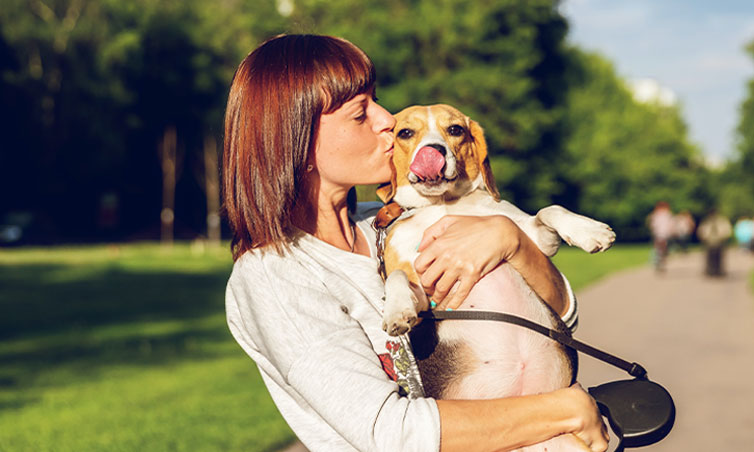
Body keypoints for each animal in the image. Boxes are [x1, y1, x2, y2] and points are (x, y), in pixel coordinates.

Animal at [374, 105, 612, 448]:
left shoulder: (534, 238)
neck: (444, 205)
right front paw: (396, 311)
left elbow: (549, 210)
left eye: (455, 129)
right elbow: (395, 278)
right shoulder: (422, 292)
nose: (434, 152)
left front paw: (590, 231)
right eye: (405, 133)